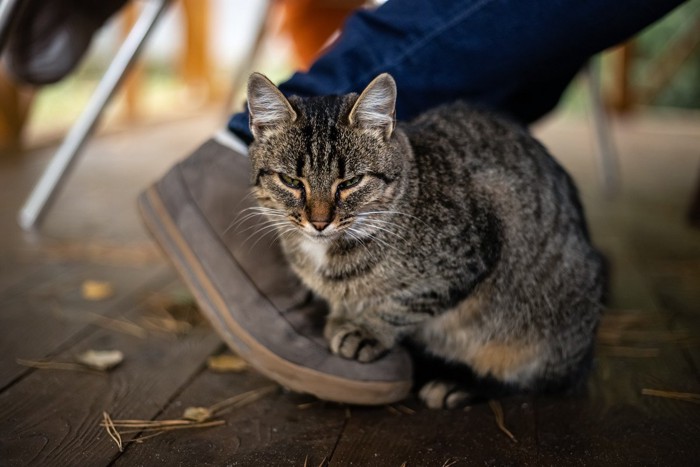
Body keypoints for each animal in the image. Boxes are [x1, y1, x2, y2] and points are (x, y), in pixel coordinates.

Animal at [243, 71, 604, 408]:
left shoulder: (461, 263)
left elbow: (400, 305)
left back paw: (457, 385)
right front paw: (342, 318)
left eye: (351, 182)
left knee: (533, 381)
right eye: (291, 181)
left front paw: (366, 330)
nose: (319, 222)